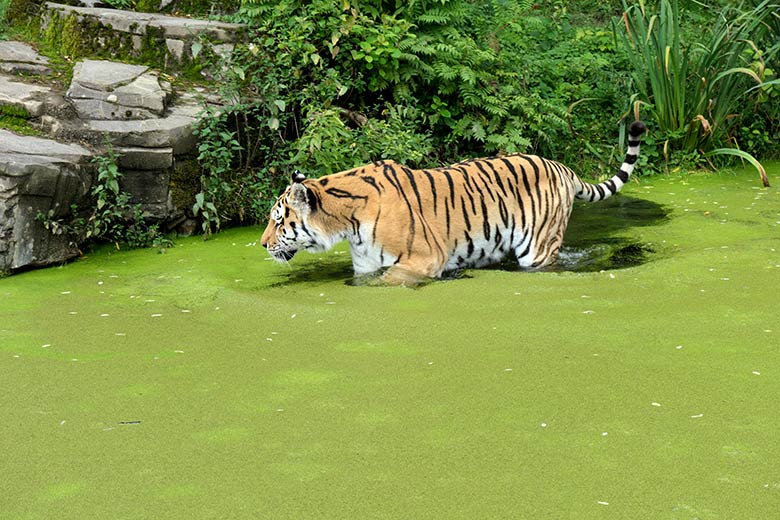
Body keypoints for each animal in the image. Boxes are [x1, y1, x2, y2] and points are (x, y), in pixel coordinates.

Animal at [260, 120, 644, 286]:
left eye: (279, 220)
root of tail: (562, 166)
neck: (348, 224)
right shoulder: (367, 264)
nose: (263, 244)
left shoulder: (424, 260)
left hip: (537, 248)